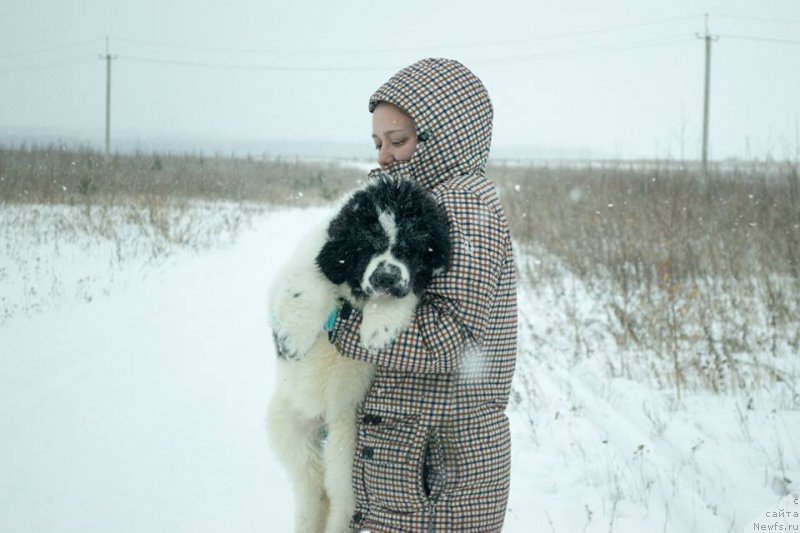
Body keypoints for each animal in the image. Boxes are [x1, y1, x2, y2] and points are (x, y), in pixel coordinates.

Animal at [266, 176, 446, 532]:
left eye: (409, 248)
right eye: (368, 246)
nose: (386, 277)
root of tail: (320, 420)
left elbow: (404, 296)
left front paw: (377, 331)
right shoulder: (314, 256)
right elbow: (309, 283)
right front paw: (292, 339)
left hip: (346, 446)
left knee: (338, 500)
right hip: (288, 425)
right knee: (310, 488)